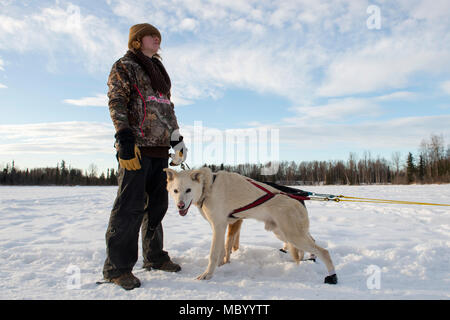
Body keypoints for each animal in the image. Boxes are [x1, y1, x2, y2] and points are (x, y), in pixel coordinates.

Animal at [165, 166, 338, 284]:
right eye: (175, 191)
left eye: (188, 190)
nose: (180, 205)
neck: (209, 187)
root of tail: (298, 199)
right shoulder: (221, 227)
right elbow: (222, 251)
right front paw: (221, 266)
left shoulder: (219, 226)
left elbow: (214, 253)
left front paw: (208, 274)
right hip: (283, 233)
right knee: (309, 244)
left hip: (293, 235)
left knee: (324, 252)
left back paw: (332, 276)